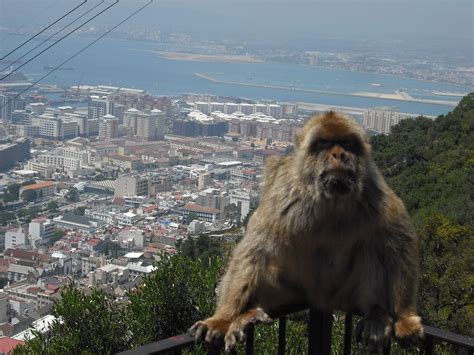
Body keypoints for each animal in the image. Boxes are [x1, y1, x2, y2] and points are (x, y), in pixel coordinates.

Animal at [189, 110, 422, 354]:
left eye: (347, 143)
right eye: (324, 143)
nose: (339, 154)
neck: (332, 197)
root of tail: (321, 301)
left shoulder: (373, 190)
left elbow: (400, 243)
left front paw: (405, 318)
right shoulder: (284, 197)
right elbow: (254, 249)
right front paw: (222, 319)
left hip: (347, 295)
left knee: (371, 253)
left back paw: (376, 314)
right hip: (290, 291)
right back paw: (249, 314)